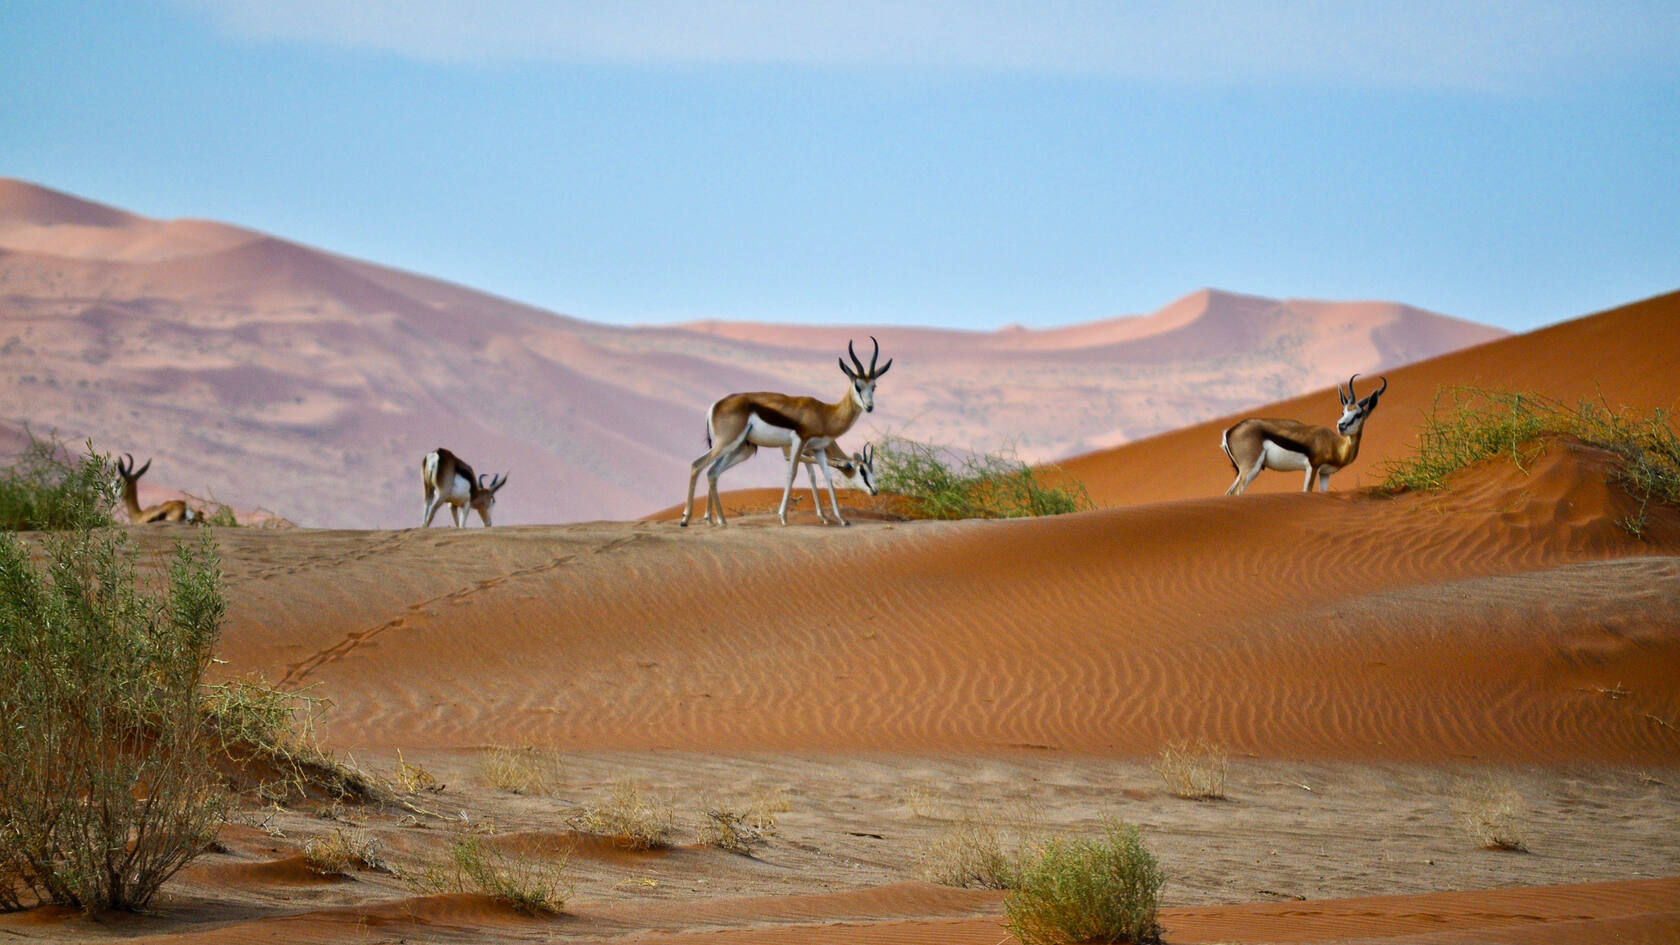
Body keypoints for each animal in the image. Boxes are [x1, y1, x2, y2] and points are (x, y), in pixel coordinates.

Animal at [682, 332, 893, 524]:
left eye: (874, 386)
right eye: (857, 386)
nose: (869, 407)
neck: (825, 413)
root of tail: (716, 404)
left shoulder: (817, 448)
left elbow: (826, 477)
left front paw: (840, 519)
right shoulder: (798, 442)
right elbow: (792, 474)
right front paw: (783, 517)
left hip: (738, 448)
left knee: (712, 472)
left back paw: (719, 520)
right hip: (727, 443)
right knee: (697, 465)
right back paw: (687, 519)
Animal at [1223, 373, 1391, 497]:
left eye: (1358, 414)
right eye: (1343, 411)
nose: (1341, 425)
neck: (1334, 445)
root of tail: (1230, 431)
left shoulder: (1325, 474)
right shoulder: (1312, 467)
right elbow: (1306, 491)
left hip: (1242, 472)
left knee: (1229, 493)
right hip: (1251, 469)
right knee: (1237, 493)